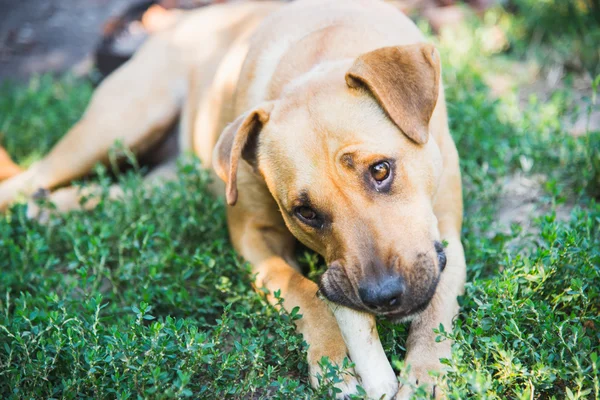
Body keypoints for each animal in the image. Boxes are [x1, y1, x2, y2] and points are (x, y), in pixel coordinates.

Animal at [0, 1, 466, 398]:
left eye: (381, 170)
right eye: (305, 212)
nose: (383, 297)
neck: (319, 53)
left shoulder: (449, 239)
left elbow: (438, 309)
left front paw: (428, 377)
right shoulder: (251, 238)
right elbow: (302, 289)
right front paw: (334, 361)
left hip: (154, 175)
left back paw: (49, 209)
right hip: (120, 123)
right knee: (27, 180)